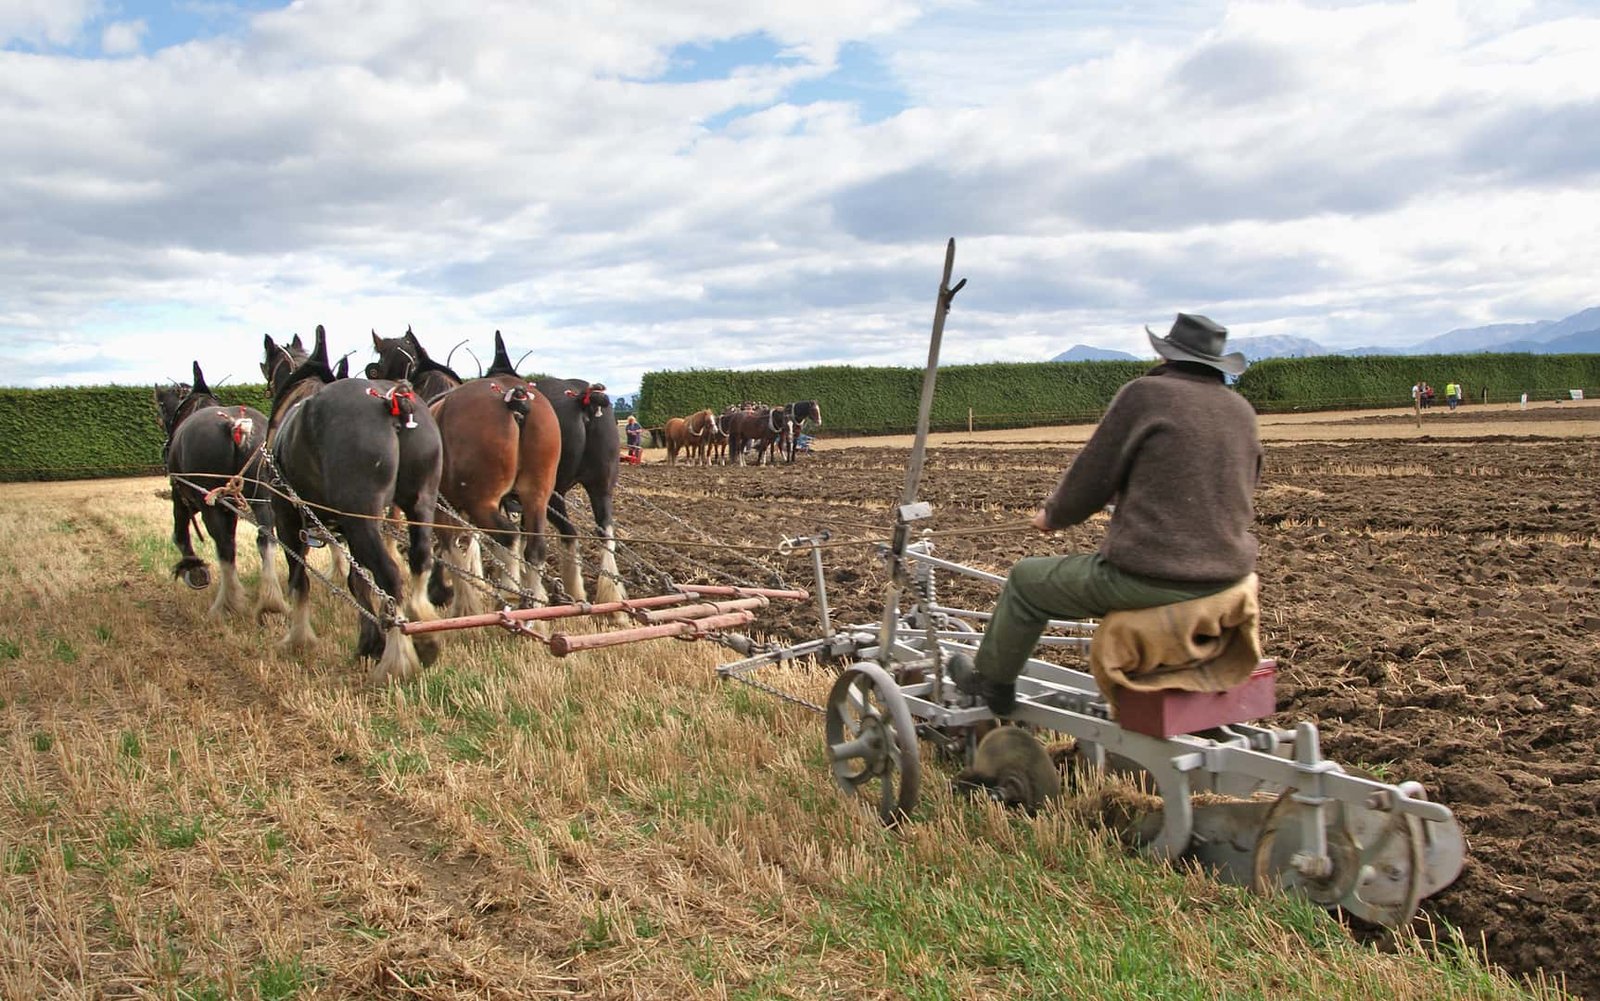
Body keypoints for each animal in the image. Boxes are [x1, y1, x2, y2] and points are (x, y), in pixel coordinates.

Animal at [154, 359, 286, 617]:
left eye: (161, 407)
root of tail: (235, 425)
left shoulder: (181, 497)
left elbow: (180, 535)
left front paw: (193, 570)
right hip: (262, 496)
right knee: (265, 539)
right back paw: (271, 602)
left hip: (212, 504)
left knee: (225, 547)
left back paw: (227, 604)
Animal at [264, 323, 444, 681]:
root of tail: (395, 401)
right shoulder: (344, 528)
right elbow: (357, 582)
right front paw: (369, 642)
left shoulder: (287, 518)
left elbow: (299, 580)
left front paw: (298, 638)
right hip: (418, 505)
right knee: (419, 560)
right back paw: (422, 629)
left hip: (360, 517)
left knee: (390, 575)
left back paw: (397, 660)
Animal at [368, 329, 563, 607]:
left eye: (380, 359)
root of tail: (515, 398)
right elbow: (465, 541)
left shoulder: (439, 505)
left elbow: (448, 545)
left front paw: (448, 593)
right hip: (536, 493)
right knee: (534, 548)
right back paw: (532, 603)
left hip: (480, 501)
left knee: (508, 537)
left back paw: (509, 595)